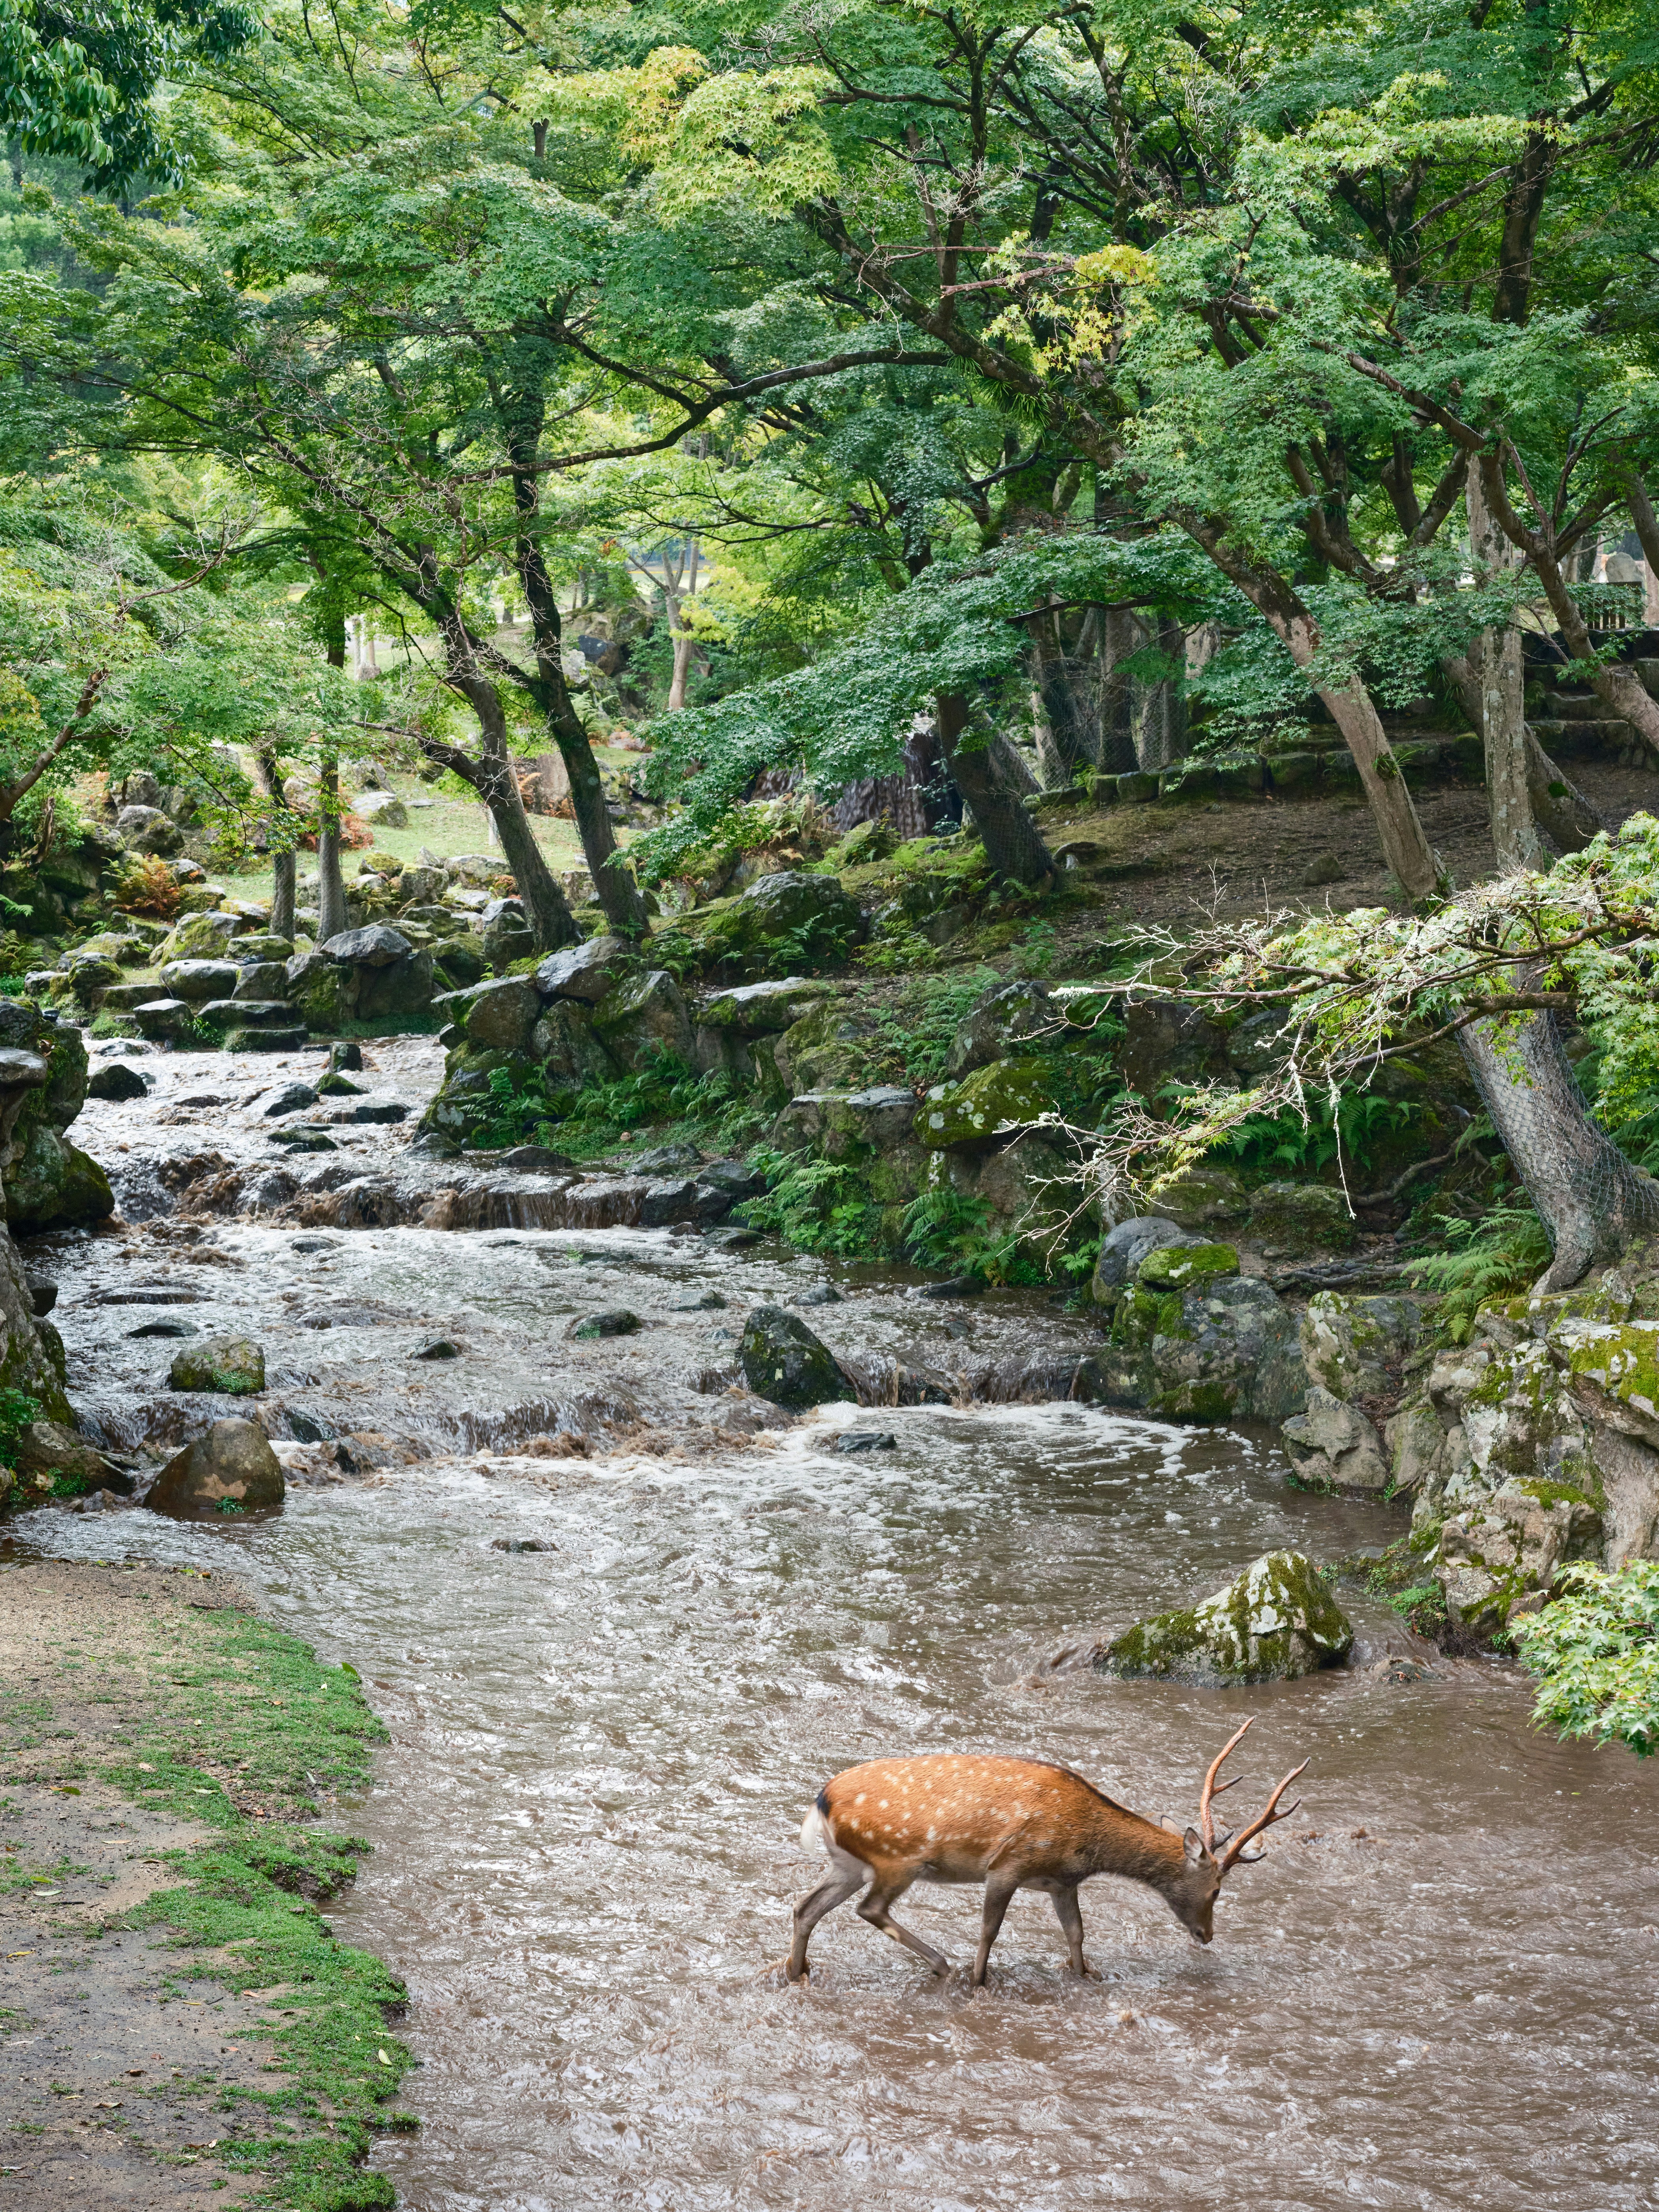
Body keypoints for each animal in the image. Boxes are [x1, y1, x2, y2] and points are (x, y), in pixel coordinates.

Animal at [784, 1717, 1306, 1987]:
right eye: (1217, 1888)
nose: (1207, 1934)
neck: (1084, 1842)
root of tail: (822, 1800)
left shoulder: (1061, 1880)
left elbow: (1076, 1932)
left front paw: (1085, 1975)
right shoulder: (1009, 1863)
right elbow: (989, 1930)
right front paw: (978, 1981)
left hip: (848, 1862)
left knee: (805, 1905)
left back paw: (796, 1971)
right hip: (897, 1858)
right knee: (869, 1908)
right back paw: (941, 1964)